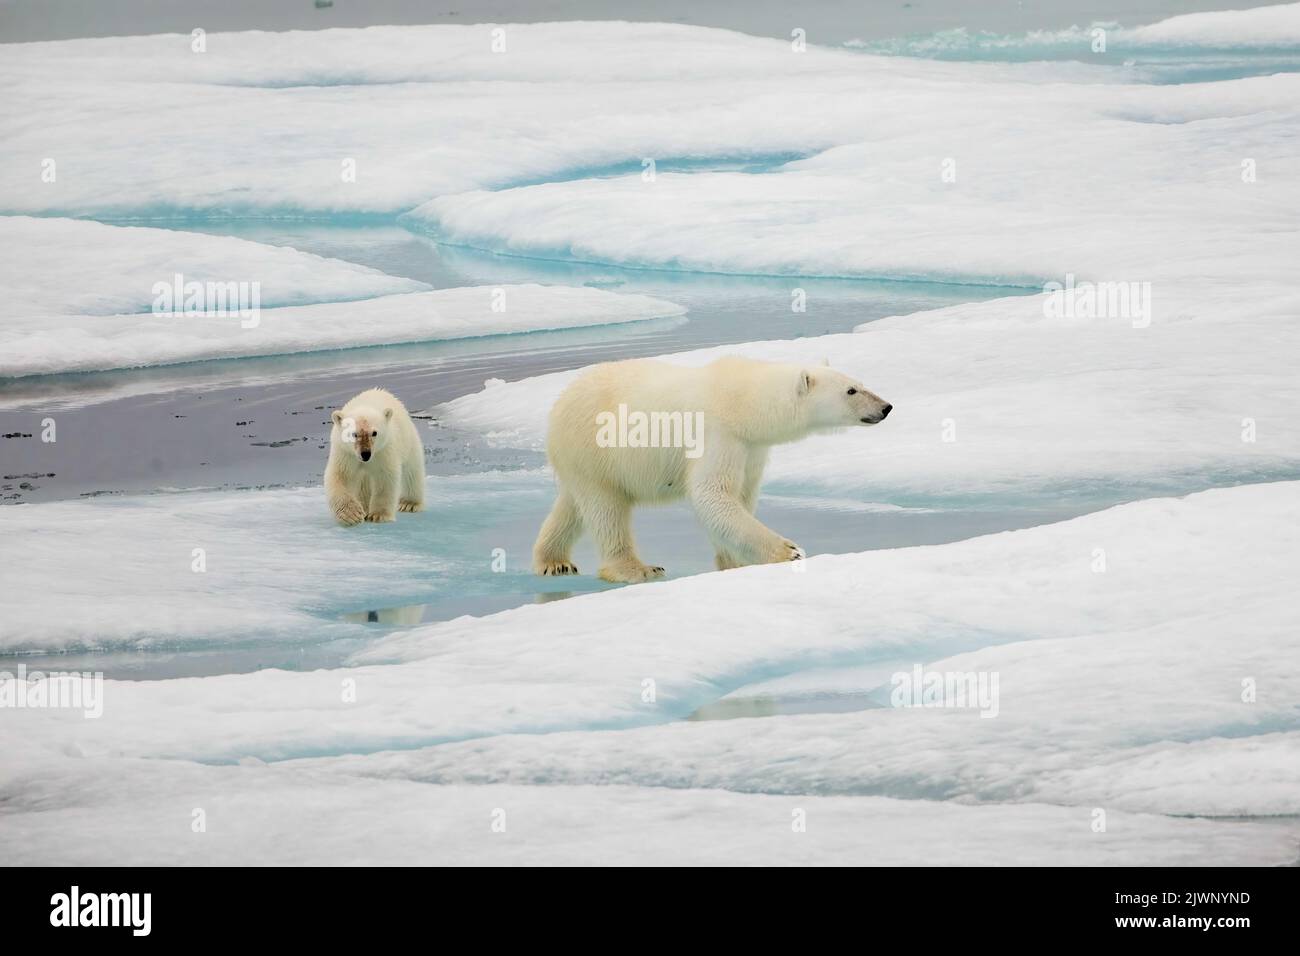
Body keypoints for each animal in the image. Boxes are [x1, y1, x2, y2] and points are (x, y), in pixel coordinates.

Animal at [533, 358, 889, 582]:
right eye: (851, 391)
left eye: (859, 383)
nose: (886, 407)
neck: (743, 402)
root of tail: (559, 404)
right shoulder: (717, 434)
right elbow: (712, 494)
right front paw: (789, 551)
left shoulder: (751, 448)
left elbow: (740, 496)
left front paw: (735, 562)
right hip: (594, 445)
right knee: (606, 509)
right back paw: (637, 569)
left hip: (583, 460)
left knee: (574, 506)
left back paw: (554, 562)